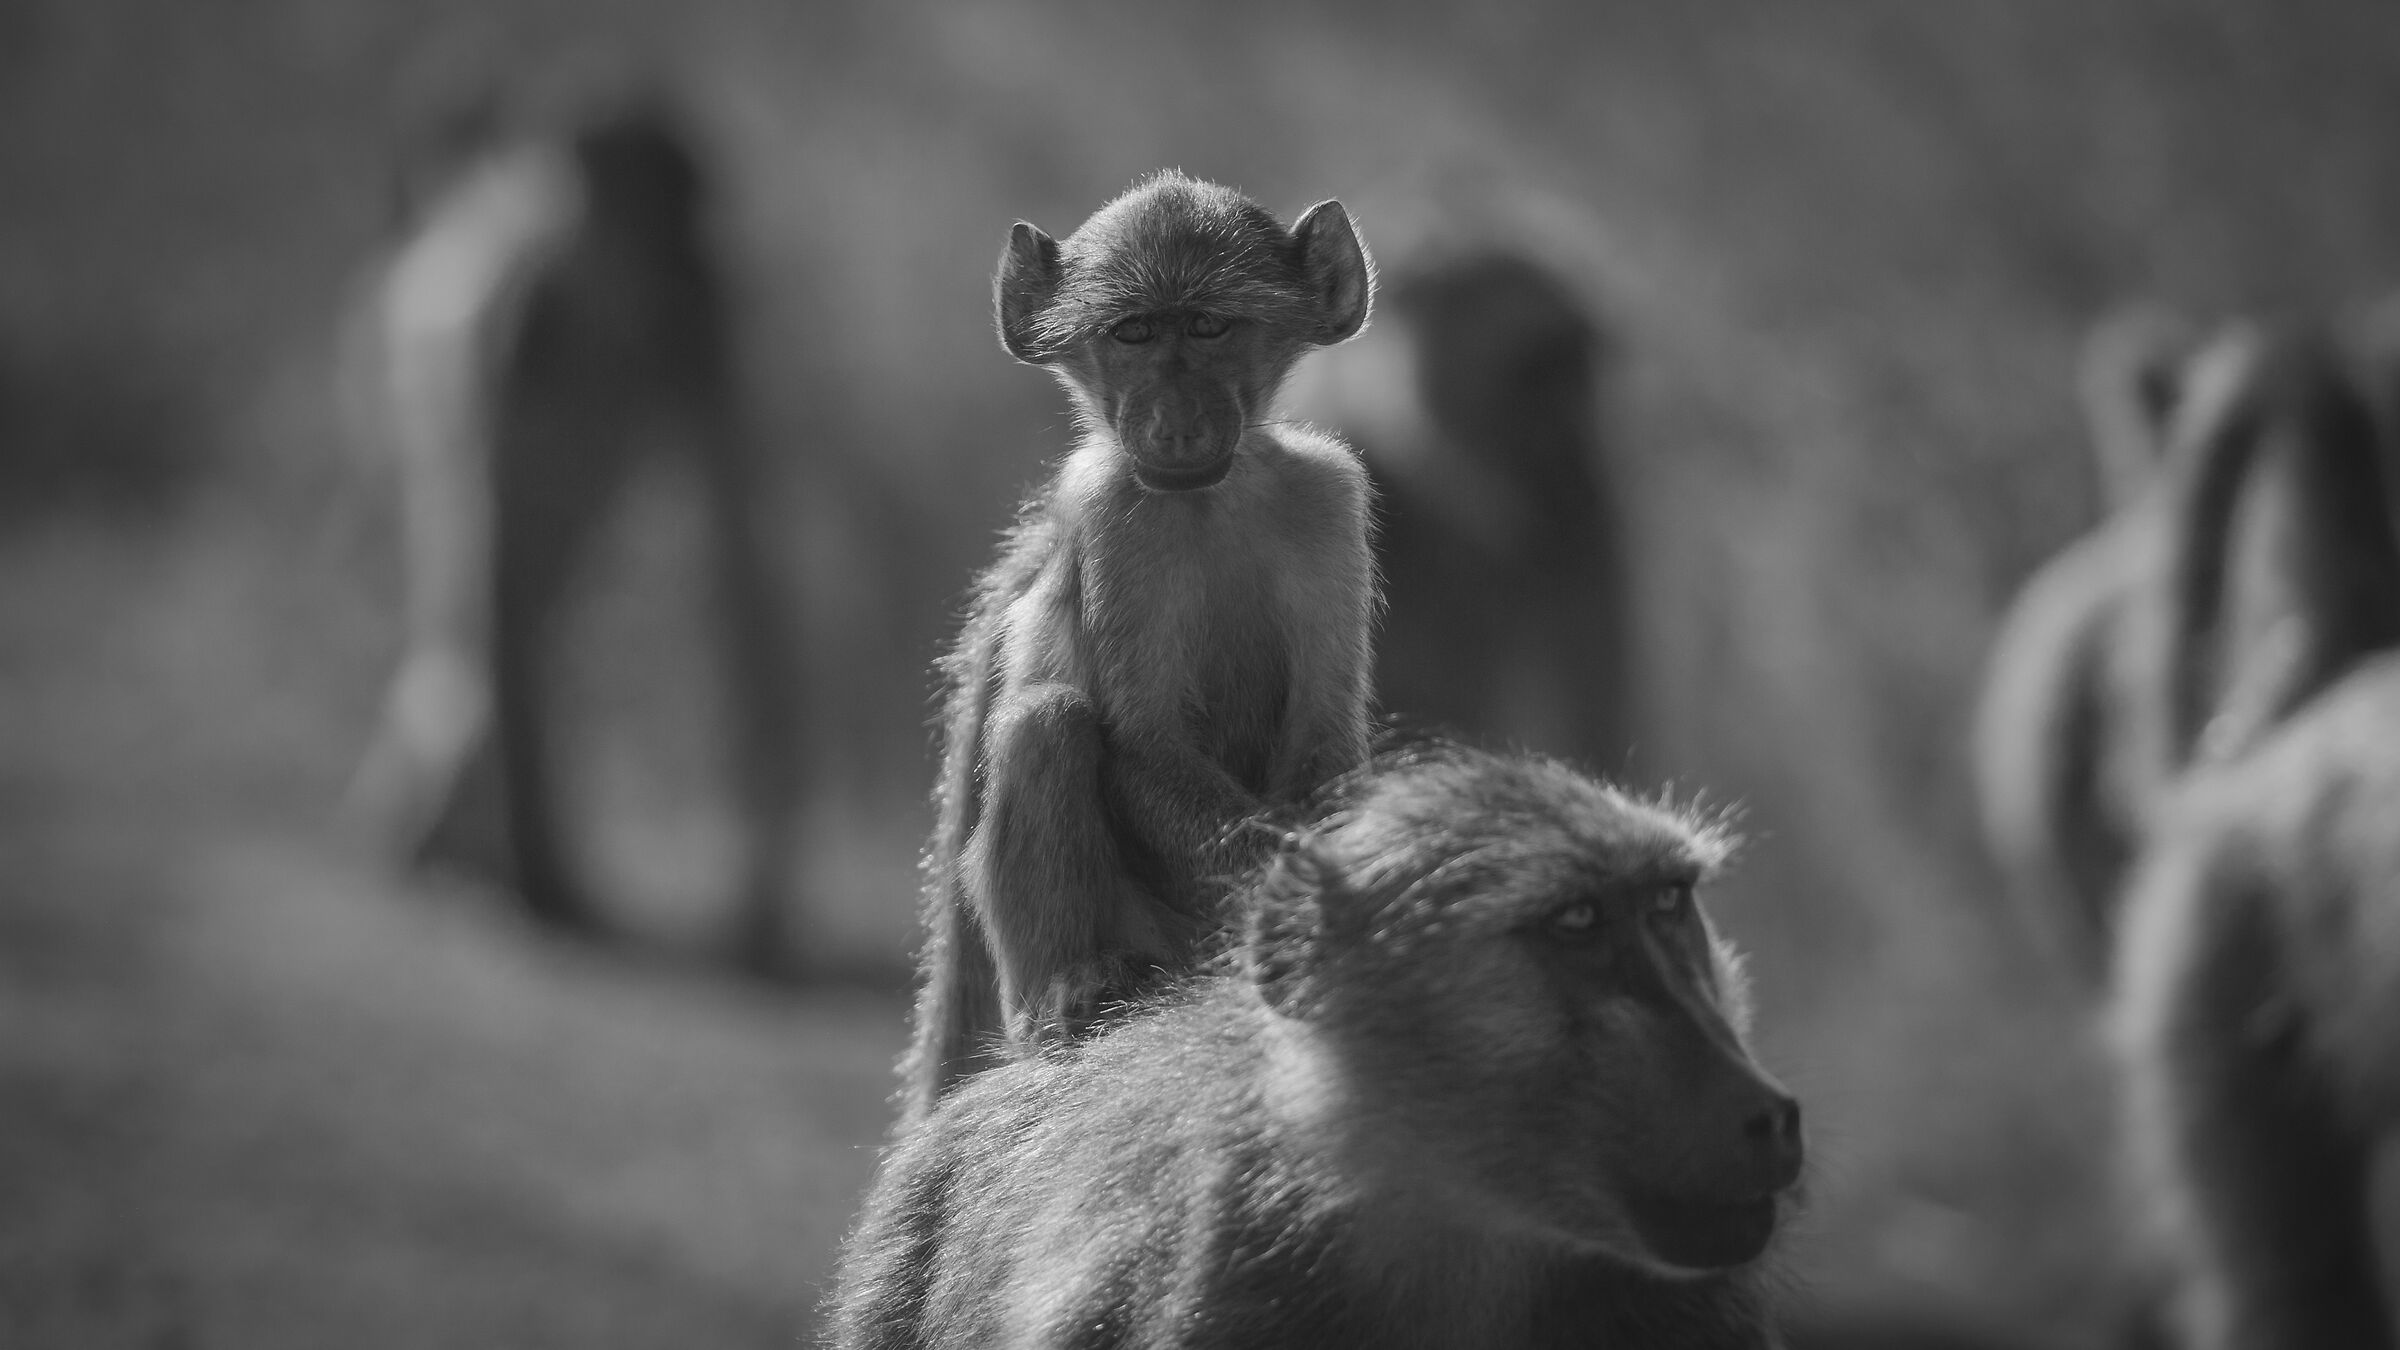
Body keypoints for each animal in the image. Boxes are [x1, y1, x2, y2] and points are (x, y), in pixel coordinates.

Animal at [897, 172, 1379, 1119]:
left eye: (1208, 327)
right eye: (1133, 334)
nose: (1176, 426)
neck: (1212, 499)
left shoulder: (1329, 497)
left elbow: (1326, 741)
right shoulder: (1115, 513)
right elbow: (1143, 742)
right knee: (1047, 721)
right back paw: (1073, 990)